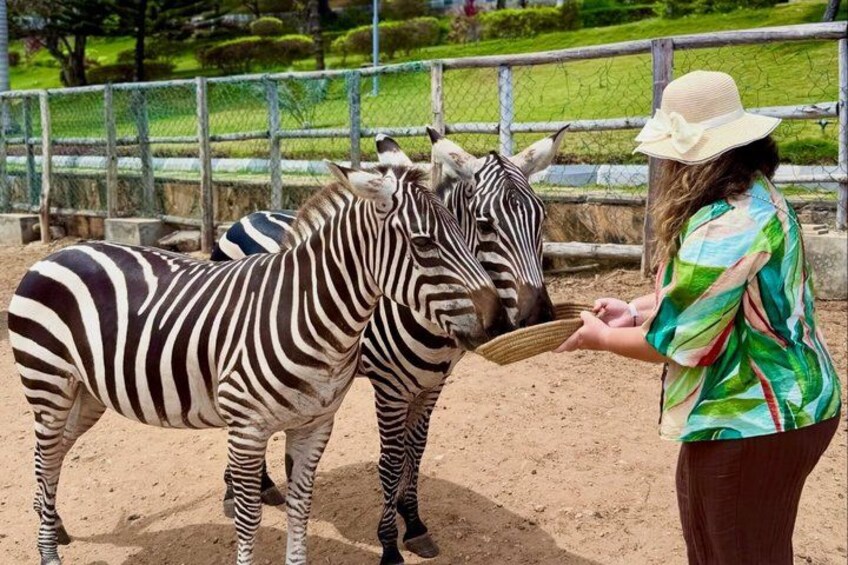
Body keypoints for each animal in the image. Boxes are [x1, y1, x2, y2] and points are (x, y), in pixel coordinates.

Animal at [8, 161, 511, 565]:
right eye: (424, 243)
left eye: (466, 232)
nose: (499, 320)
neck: (310, 314)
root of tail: (57, 253)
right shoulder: (248, 428)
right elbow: (249, 517)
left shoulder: (314, 426)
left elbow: (301, 507)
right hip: (47, 385)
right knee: (43, 458)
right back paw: (48, 552)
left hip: (86, 394)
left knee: (53, 457)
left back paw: (53, 524)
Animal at [212, 127, 568, 565]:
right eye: (485, 224)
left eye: (542, 217)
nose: (540, 316)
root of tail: (250, 214)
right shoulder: (390, 389)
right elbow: (391, 460)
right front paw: (388, 543)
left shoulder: (431, 386)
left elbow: (416, 452)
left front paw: (413, 522)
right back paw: (233, 494)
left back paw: (263, 484)